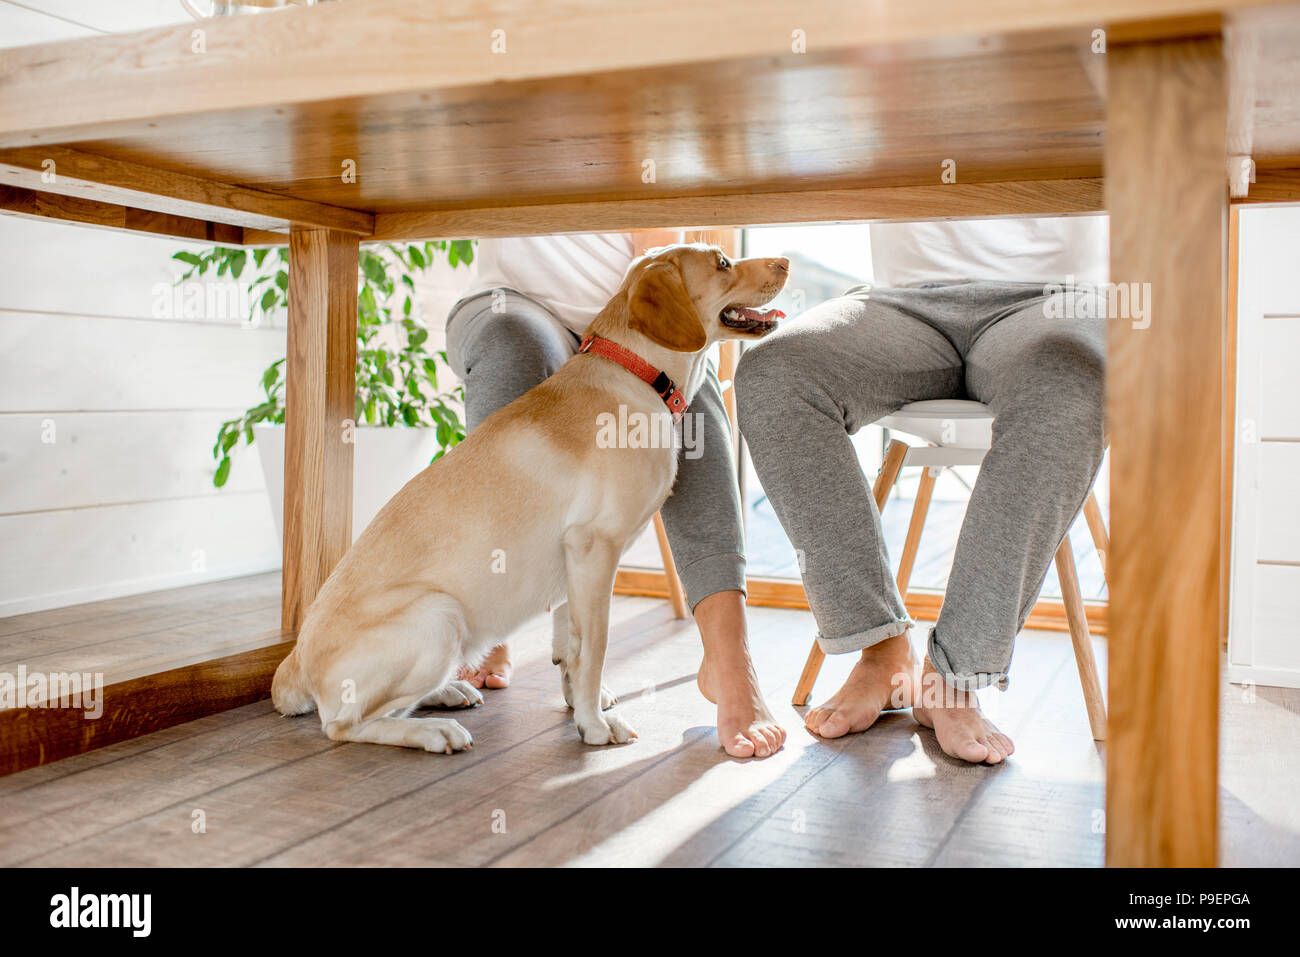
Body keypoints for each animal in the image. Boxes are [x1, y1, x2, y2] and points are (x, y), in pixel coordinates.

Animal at [269, 243, 785, 748]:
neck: (635, 373)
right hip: (441, 615)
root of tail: (294, 660)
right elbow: (595, 648)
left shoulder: (575, 559)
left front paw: (581, 707)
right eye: (722, 263)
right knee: (345, 724)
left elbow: (573, 648)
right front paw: (593, 726)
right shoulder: (595, 548)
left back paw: (448, 692)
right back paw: (433, 731)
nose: (784, 262)